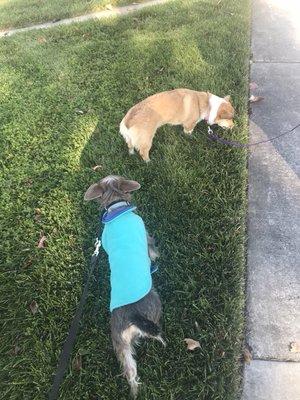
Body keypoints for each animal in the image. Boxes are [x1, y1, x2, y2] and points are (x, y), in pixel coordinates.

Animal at [84, 175, 164, 396]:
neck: (116, 205)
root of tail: (132, 317)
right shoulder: (146, 235)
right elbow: (152, 250)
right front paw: (155, 259)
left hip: (119, 341)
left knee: (130, 369)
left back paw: (134, 391)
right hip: (154, 304)